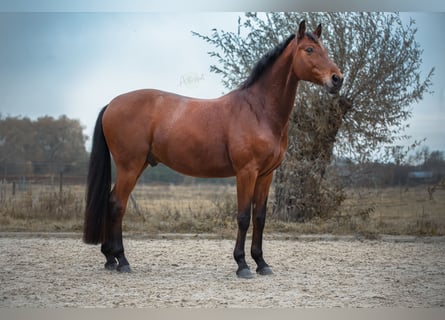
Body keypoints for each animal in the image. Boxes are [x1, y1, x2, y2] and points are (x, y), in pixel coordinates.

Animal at [84, 21, 344, 278]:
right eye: (309, 50)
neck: (258, 110)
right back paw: (122, 260)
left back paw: (110, 258)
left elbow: (260, 217)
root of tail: (112, 104)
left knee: (111, 201)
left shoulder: (266, 175)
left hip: (139, 165)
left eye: (325, 49)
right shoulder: (246, 172)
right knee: (117, 204)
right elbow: (243, 217)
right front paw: (242, 265)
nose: (337, 79)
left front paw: (261, 263)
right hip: (130, 166)